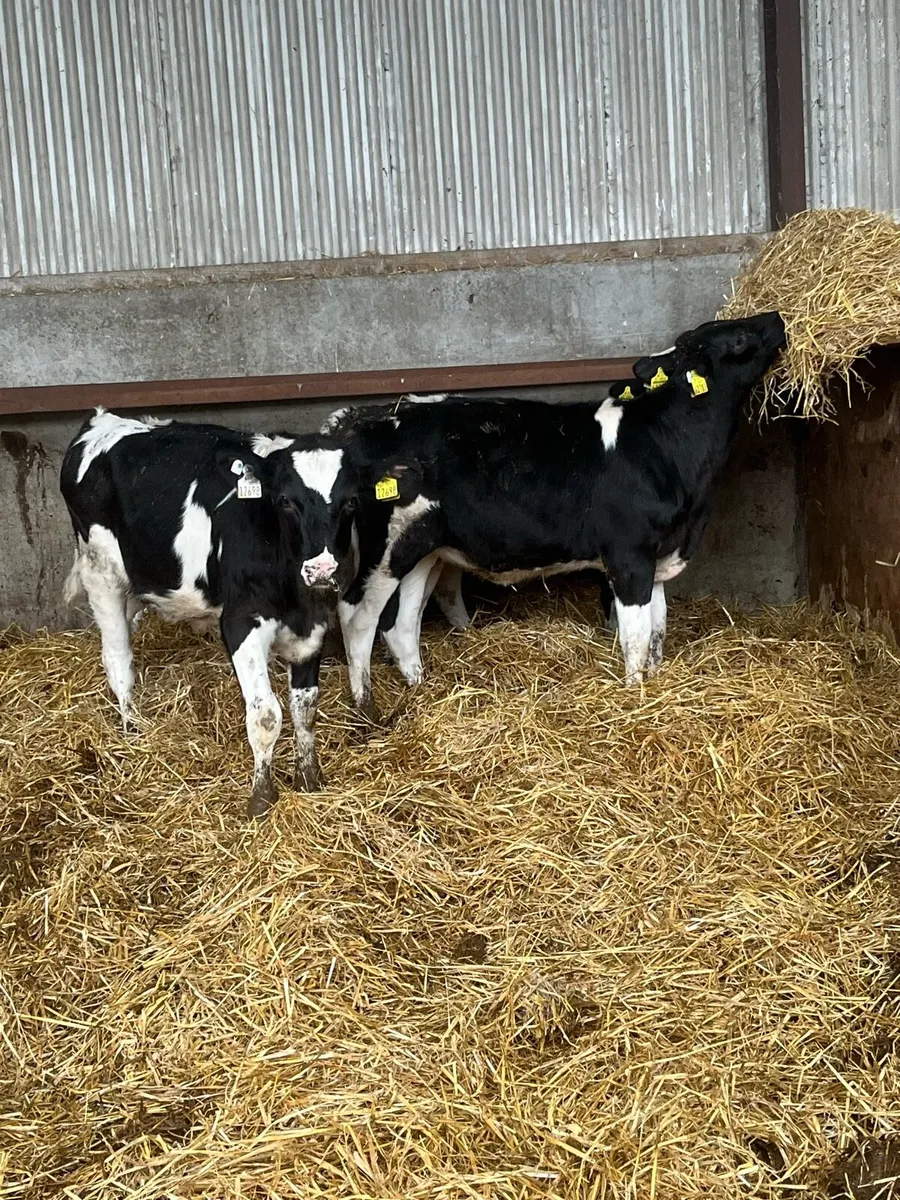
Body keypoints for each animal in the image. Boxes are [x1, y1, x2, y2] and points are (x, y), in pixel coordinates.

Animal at [59, 409, 397, 817]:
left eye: (350, 502)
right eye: (285, 501)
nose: (321, 569)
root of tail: (102, 420)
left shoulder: (312, 623)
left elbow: (305, 708)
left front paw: (309, 779)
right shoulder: (241, 622)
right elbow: (266, 714)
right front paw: (262, 798)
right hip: (100, 571)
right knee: (118, 659)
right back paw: (132, 732)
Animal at [329, 313, 785, 712]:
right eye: (739, 338)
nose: (777, 318)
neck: (666, 443)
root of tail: (362, 418)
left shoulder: (658, 554)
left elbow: (657, 629)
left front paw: (653, 683)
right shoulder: (629, 555)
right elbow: (636, 636)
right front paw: (634, 694)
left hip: (422, 545)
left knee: (403, 621)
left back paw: (420, 687)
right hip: (382, 550)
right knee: (357, 617)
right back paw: (365, 705)